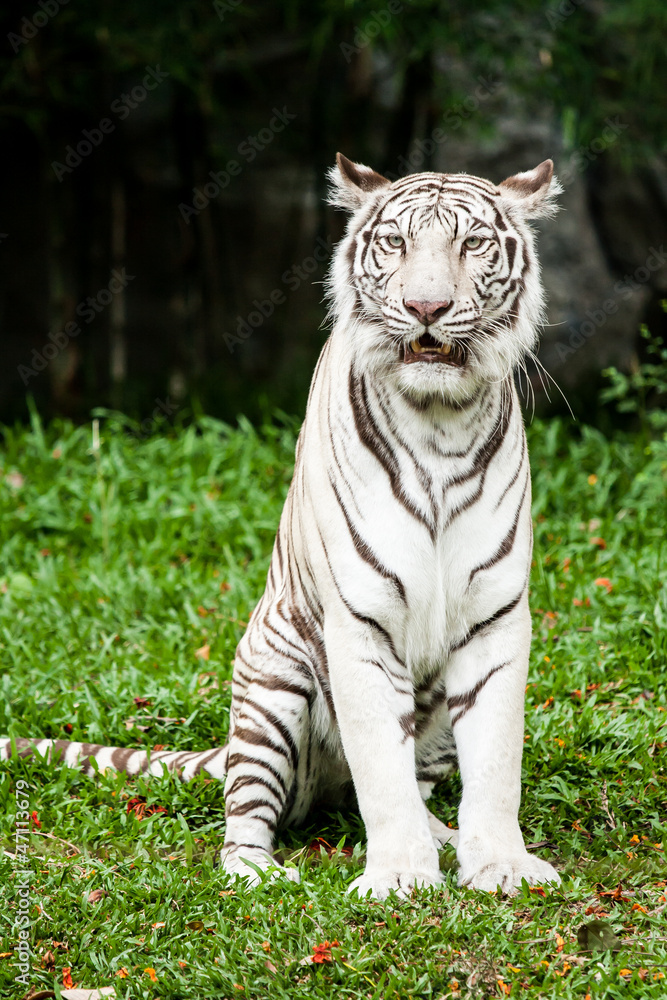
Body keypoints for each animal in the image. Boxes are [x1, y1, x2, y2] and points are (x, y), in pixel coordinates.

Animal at [2, 153, 562, 900]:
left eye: (471, 244)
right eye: (395, 244)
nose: (426, 308)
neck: (439, 421)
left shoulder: (493, 618)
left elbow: (496, 765)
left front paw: (500, 865)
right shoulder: (359, 620)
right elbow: (381, 772)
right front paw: (399, 878)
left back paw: (440, 837)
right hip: (274, 683)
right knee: (247, 816)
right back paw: (259, 873)